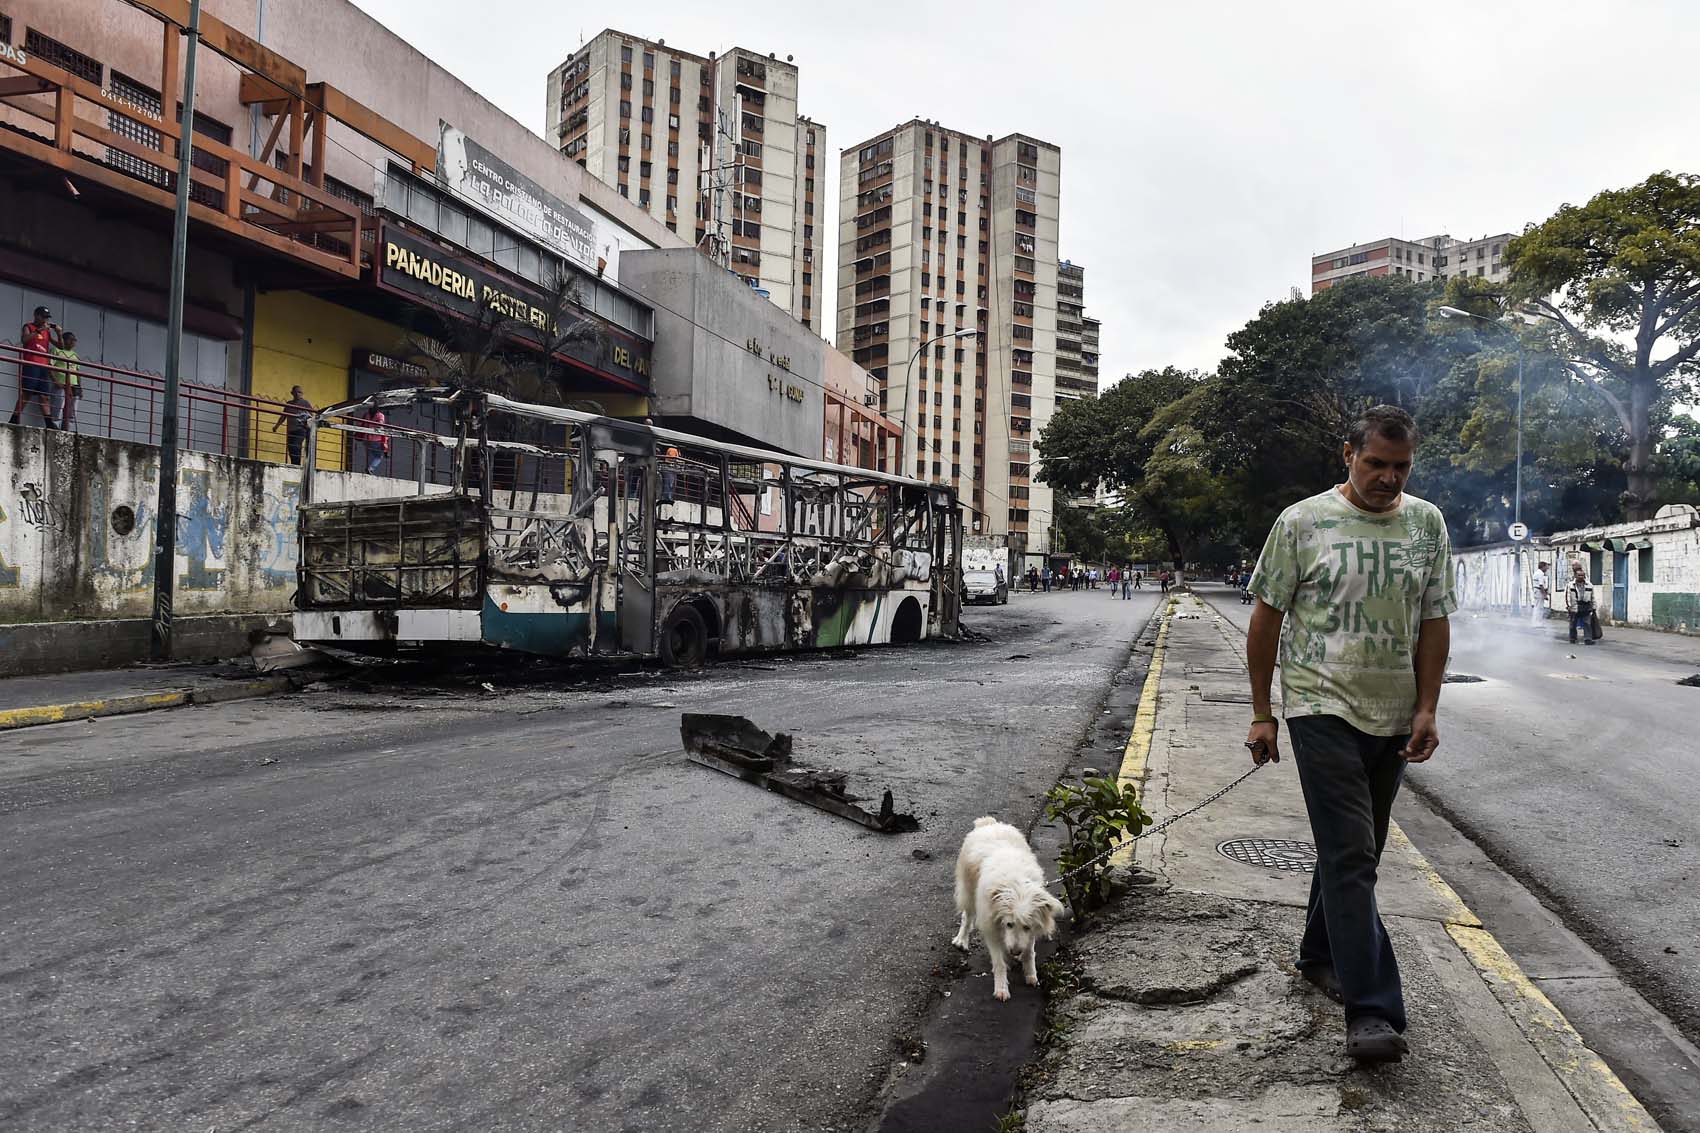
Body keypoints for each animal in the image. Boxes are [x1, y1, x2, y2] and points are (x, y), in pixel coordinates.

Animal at [952, 816, 1054, 993]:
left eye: (1027, 927)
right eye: (1009, 924)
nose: (1015, 951)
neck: (1015, 886)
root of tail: (989, 824)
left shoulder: (1031, 927)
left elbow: (1029, 952)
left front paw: (1031, 974)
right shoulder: (990, 926)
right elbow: (999, 962)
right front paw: (1001, 989)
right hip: (968, 890)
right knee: (967, 916)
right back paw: (961, 940)